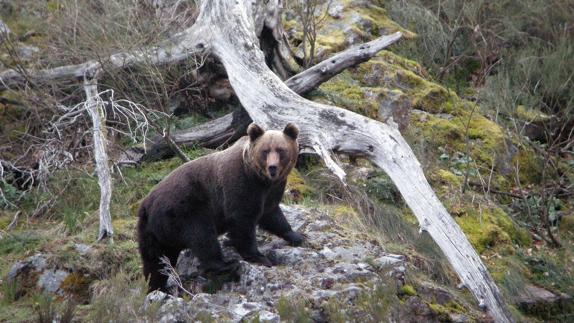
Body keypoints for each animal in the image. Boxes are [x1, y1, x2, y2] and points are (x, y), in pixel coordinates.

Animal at [137, 123, 306, 292]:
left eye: (281, 150)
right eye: (265, 151)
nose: (272, 167)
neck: (260, 179)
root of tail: (146, 204)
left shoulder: (271, 191)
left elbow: (272, 215)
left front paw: (296, 236)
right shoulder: (241, 186)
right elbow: (242, 222)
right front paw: (259, 257)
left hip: (152, 232)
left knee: (156, 260)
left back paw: (158, 287)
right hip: (185, 209)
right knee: (202, 236)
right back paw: (226, 265)